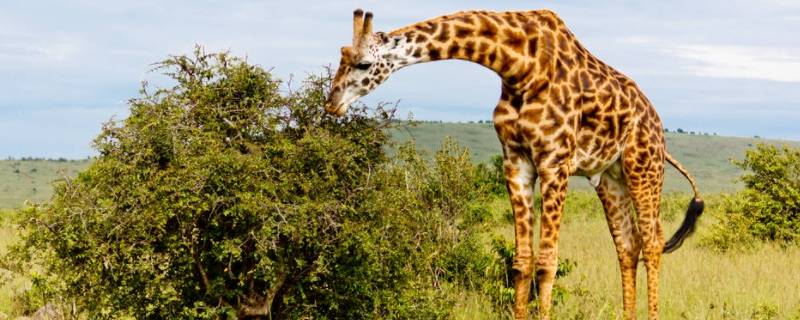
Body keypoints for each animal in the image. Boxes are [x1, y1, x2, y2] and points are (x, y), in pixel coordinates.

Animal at [322, 8, 704, 318]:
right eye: (341, 56)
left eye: (364, 64)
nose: (332, 103)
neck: (519, 65)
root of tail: (656, 124)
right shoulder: (516, 161)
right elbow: (521, 262)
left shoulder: (555, 162)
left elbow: (547, 263)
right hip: (610, 177)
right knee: (628, 245)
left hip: (643, 166)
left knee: (652, 243)